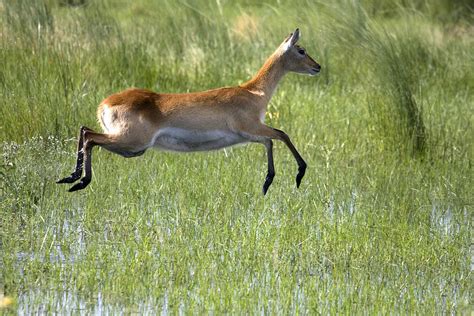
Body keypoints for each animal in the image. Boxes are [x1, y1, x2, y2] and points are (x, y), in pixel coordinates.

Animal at [57, 28, 320, 194]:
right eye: (301, 50)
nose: (317, 67)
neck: (254, 92)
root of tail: (104, 103)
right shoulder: (251, 127)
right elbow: (281, 135)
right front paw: (295, 175)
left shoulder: (248, 134)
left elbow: (271, 140)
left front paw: (268, 182)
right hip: (132, 143)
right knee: (90, 138)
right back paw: (80, 182)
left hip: (131, 147)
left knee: (84, 130)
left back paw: (70, 177)